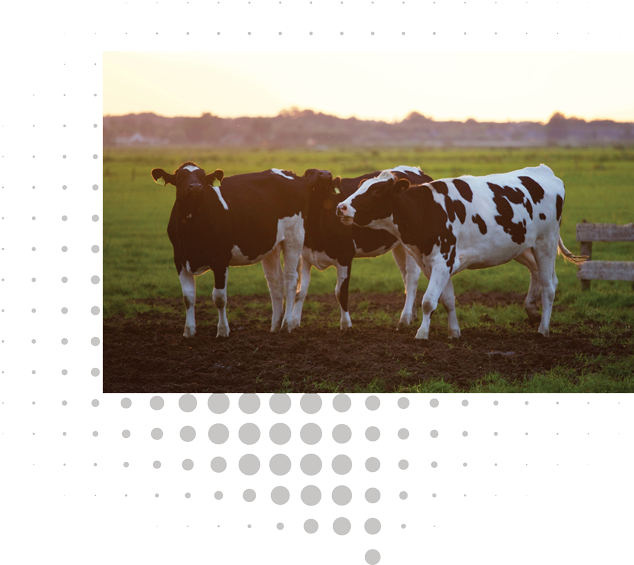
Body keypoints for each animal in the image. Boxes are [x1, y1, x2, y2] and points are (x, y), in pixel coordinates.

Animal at [151, 163, 334, 338]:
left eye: (203, 177)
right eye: (180, 177)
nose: (195, 187)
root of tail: (292, 174)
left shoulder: (221, 259)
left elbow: (219, 297)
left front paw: (223, 331)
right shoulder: (179, 259)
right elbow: (188, 297)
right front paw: (189, 331)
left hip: (294, 237)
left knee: (290, 280)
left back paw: (286, 324)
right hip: (272, 245)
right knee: (275, 282)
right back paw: (275, 326)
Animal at [292, 165, 432, 328]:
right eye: (308, 173)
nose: (326, 174)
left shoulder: (345, 255)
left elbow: (341, 292)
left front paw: (346, 325)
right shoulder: (305, 256)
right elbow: (300, 292)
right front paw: (294, 323)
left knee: (411, 278)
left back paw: (405, 318)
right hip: (400, 246)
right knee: (405, 276)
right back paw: (412, 315)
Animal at [338, 164, 584, 340]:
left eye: (376, 191)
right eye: (361, 186)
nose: (341, 207)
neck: (427, 210)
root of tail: (544, 170)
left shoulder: (442, 260)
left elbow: (428, 301)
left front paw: (422, 334)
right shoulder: (434, 264)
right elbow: (447, 300)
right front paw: (454, 332)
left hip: (546, 243)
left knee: (549, 287)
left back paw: (543, 329)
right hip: (521, 246)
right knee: (541, 276)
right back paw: (532, 312)